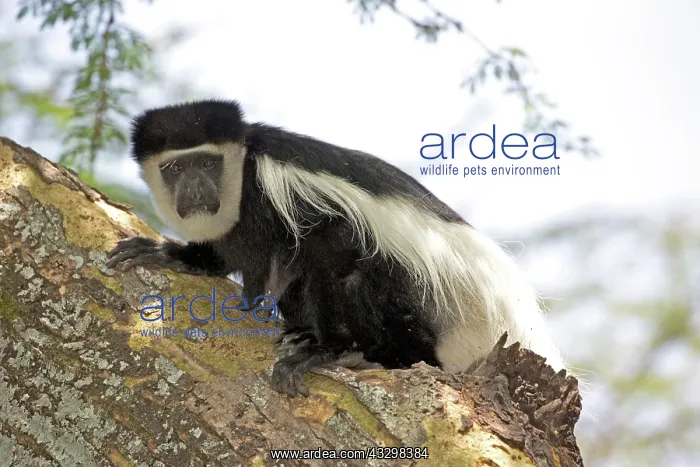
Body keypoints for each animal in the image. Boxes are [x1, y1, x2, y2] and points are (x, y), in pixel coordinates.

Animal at [106, 99, 567, 398]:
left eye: (206, 163)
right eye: (175, 167)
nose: (195, 188)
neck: (243, 177)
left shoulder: (274, 188)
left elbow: (308, 248)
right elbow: (225, 257)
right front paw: (169, 254)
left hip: (415, 298)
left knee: (337, 249)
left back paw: (341, 352)